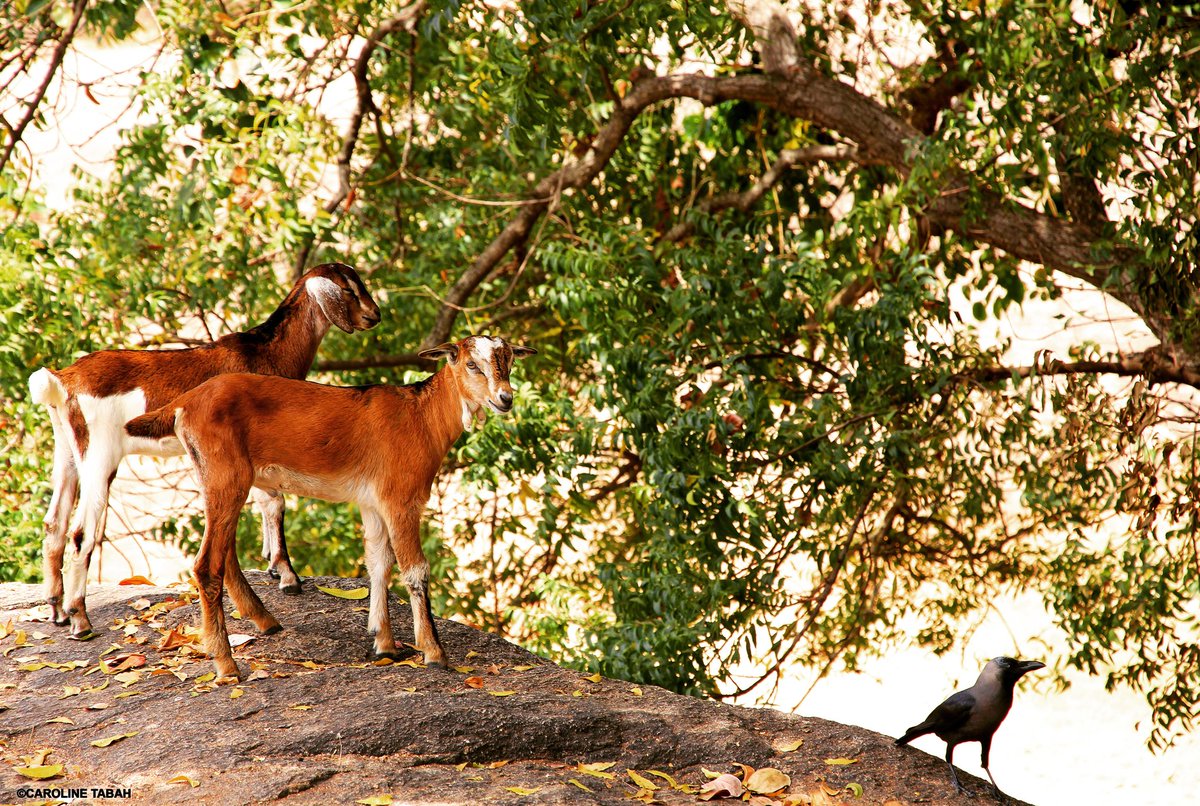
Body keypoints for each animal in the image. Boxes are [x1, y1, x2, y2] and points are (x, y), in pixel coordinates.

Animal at [28, 262, 381, 640]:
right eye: (349, 289)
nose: (374, 316)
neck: (267, 351)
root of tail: (62, 379)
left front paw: (273, 567)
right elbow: (274, 503)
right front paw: (287, 576)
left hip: (67, 450)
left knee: (54, 522)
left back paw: (56, 610)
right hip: (99, 454)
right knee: (82, 533)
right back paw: (80, 619)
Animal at [124, 334, 535, 678]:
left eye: (510, 361)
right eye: (471, 364)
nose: (505, 398)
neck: (420, 417)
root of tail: (184, 402)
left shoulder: (373, 502)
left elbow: (378, 562)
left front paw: (384, 644)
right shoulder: (401, 498)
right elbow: (415, 569)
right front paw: (434, 653)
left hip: (215, 479)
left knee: (223, 552)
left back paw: (264, 621)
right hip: (227, 476)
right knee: (207, 564)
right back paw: (227, 665)